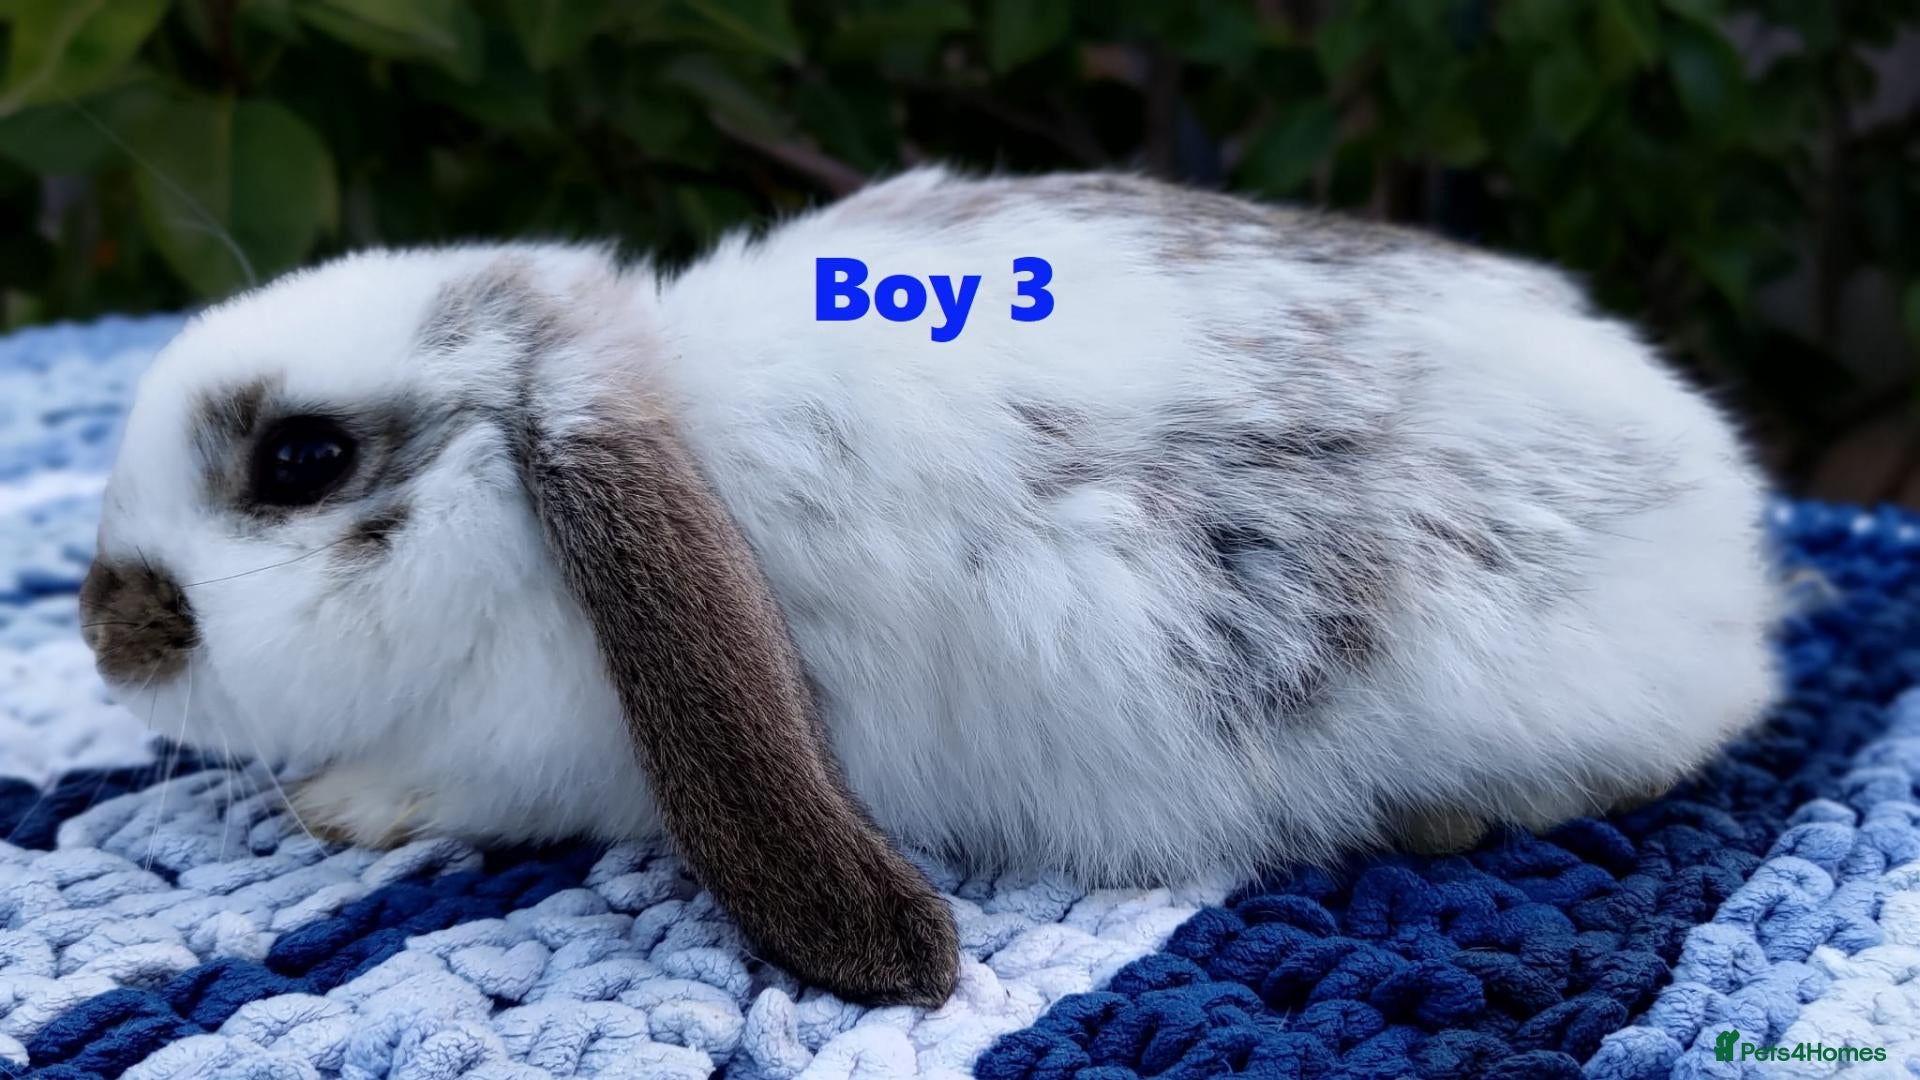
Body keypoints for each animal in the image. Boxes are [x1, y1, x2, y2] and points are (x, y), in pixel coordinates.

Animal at [77, 167, 1783, 1007]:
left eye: (299, 461)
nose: (104, 632)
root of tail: (1725, 517)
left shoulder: (542, 747)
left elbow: (455, 784)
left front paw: (341, 803)